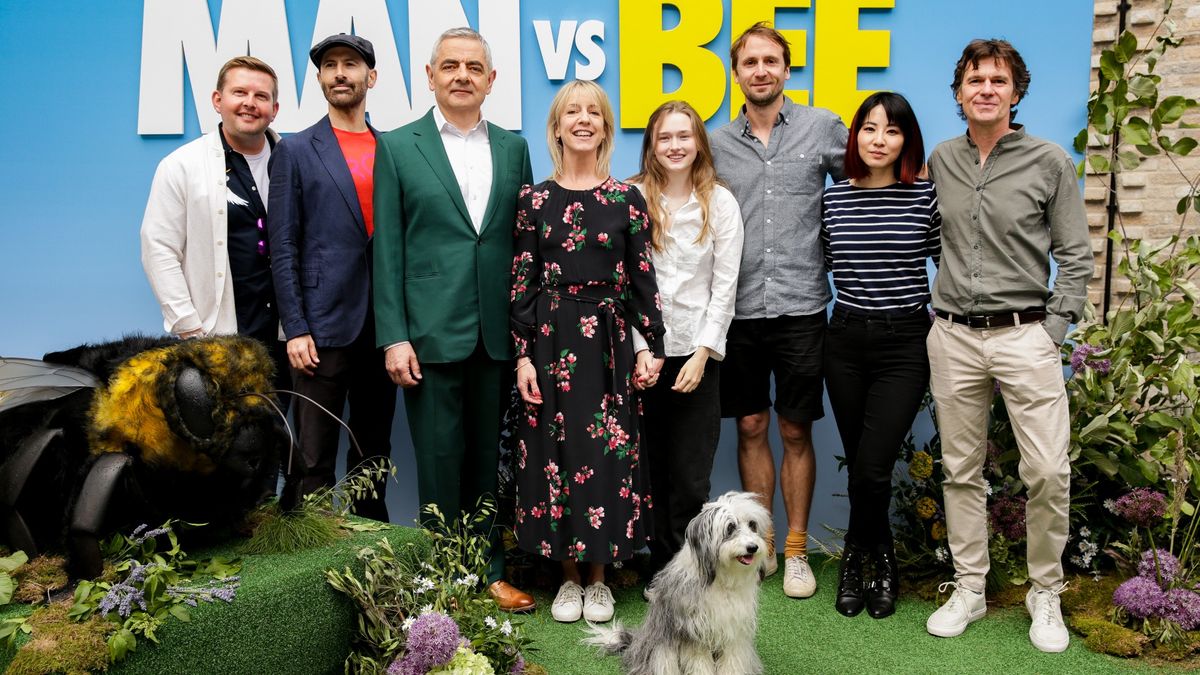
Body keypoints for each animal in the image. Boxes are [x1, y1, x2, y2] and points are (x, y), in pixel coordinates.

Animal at [583, 487, 768, 672]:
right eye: (730, 527)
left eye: (752, 525)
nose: (753, 547)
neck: (721, 579)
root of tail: (636, 642)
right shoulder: (694, 632)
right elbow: (700, 663)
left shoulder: (734, 631)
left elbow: (732, 661)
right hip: (661, 650)